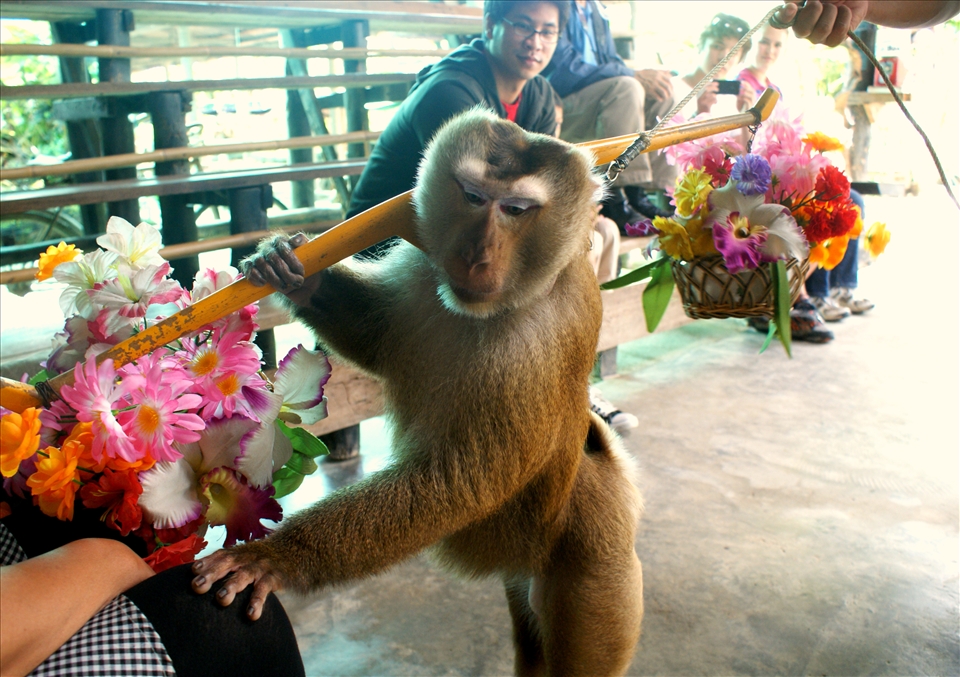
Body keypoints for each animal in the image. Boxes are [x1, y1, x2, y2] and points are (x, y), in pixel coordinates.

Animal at [192, 108, 644, 676]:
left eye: (516, 209)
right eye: (472, 196)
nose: (477, 254)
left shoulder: (530, 348)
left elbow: (456, 481)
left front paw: (278, 557)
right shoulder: (426, 262)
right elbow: (378, 335)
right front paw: (289, 270)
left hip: (596, 570)